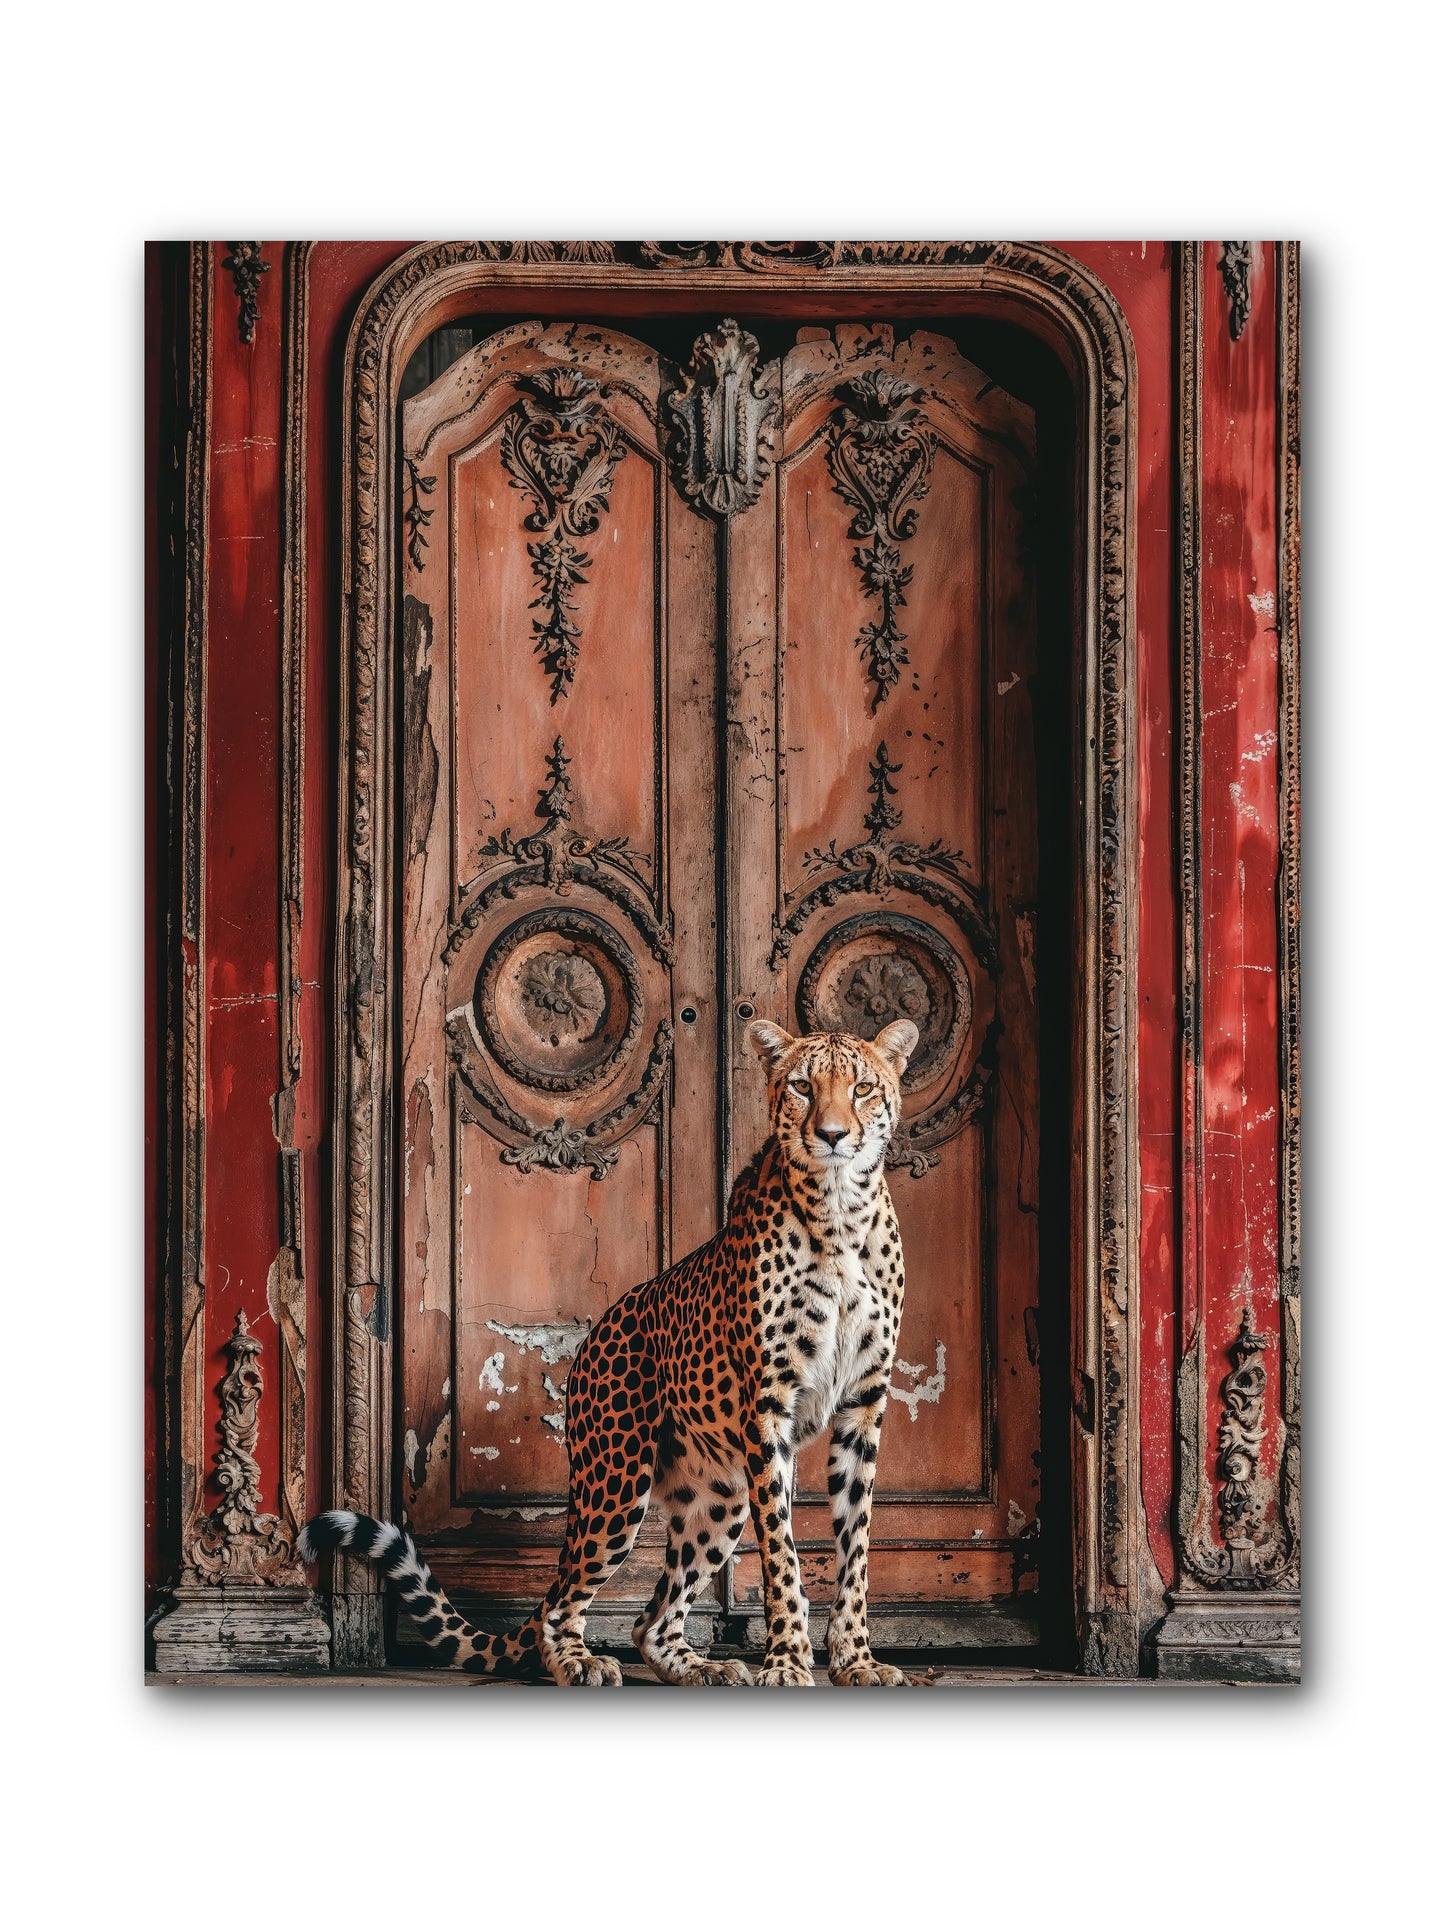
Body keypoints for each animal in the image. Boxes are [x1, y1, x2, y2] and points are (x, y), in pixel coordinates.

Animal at [299, 1015, 920, 1686]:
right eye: (803, 1087)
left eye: (862, 1088)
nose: (832, 1135)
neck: (840, 1214)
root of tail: (596, 1331)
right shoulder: (769, 1407)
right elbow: (782, 1550)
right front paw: (786, 1662)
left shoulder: (863, 1405)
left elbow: (855, 1547)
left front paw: (856, 1660)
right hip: (617, 1481)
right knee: (561, 1603)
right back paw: (580, 1661)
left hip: (720, 1496)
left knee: (650, 1620)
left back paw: (703, 1667)